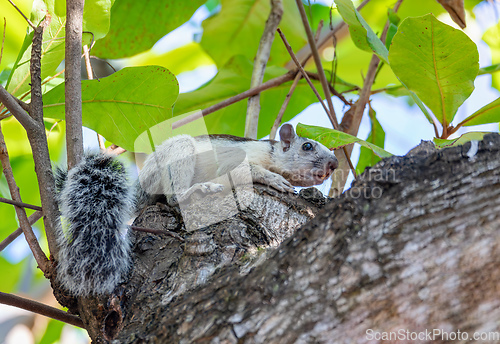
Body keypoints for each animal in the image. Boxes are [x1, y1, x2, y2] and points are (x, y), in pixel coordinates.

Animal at [54, 123, 338, 296]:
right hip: (179, 153)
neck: (270, 155)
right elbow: (250, 172)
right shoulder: (239, 162)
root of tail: (142, 187)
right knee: (173, 198)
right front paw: (275, 180)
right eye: (308, 146)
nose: (335, 164)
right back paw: (199, 189)